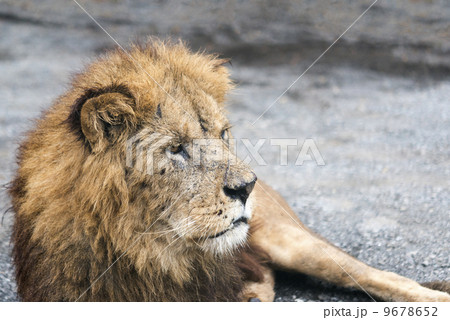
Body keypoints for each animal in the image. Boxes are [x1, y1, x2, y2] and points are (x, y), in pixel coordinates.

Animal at [9, 39, 450, 300]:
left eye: (223, 134)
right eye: (176, 149)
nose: (247, 186)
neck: (144, 254)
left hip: (292, 241)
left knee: (389, 278)